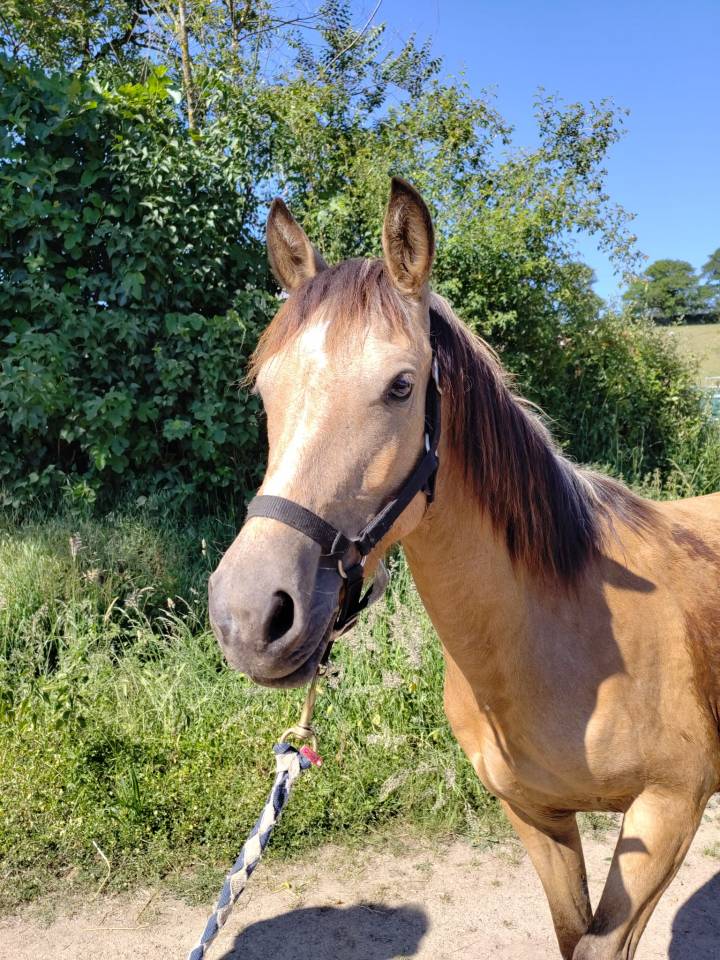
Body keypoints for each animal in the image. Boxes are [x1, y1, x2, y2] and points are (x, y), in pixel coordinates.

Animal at [209, 177, 720, 959]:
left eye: (401, 385)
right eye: (267, 389)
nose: (249, 616)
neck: (559, 639)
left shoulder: (667, 813)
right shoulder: (535, 817)